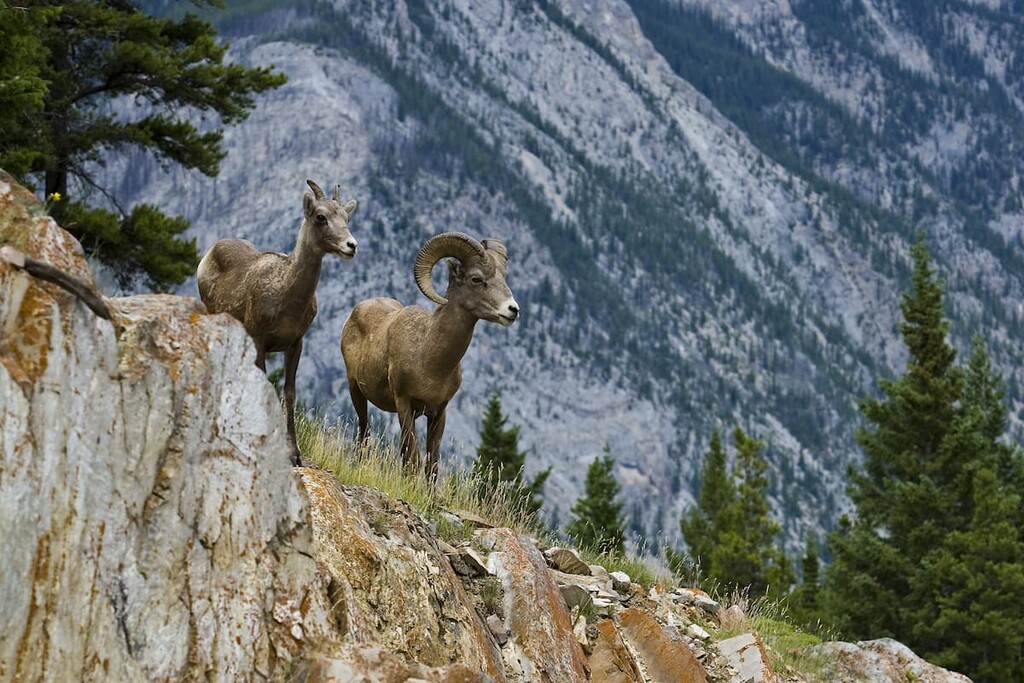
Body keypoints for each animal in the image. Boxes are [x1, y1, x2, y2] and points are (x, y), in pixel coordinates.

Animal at [197, 179, 358, 466]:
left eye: (346, 217)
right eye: (320, 217)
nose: (351, 246)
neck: (285, 294)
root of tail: (210, 253)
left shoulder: (295, 343)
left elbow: (289, 393)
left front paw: (294, 454)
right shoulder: (259, 340)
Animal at [340, 231, 519, 481]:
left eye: (503, 277)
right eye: (476, 279)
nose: (513, 310)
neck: (428, 360)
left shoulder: (438, 412)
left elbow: (431, 465)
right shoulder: (404, 404)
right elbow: (413, 459)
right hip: (355, 390)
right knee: (364, 432)